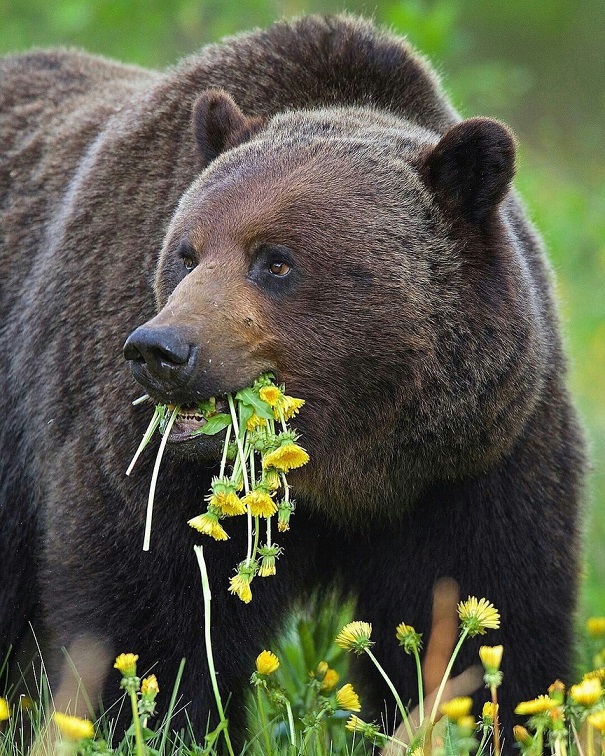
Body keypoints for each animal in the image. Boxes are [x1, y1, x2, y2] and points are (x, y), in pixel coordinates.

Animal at [1, 11, 584, 752]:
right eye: (185, 252)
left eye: (275, 261)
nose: (159, 349)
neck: (355, 466)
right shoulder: (139, 454)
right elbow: (153, 616)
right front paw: (153, 721)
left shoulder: (481, 458)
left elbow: (492, 606)